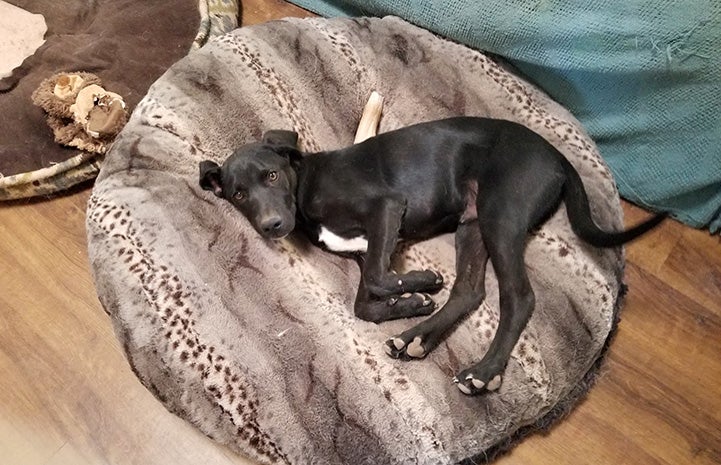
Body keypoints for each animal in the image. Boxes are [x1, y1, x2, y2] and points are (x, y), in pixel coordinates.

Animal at [198, 117, 664, 396]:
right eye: (238, 194)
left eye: (271, 175)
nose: (272, 225)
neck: (305, 184)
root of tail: (559, 156)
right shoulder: (368, 248)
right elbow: (364, 302)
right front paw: (408, 304)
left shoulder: (386, 206)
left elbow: (380, 281)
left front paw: (422, 285)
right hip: (473, 225)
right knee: (470, 291)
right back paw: (416, 337)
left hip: (501, 214)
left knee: (518, 297)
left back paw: (483, 371)